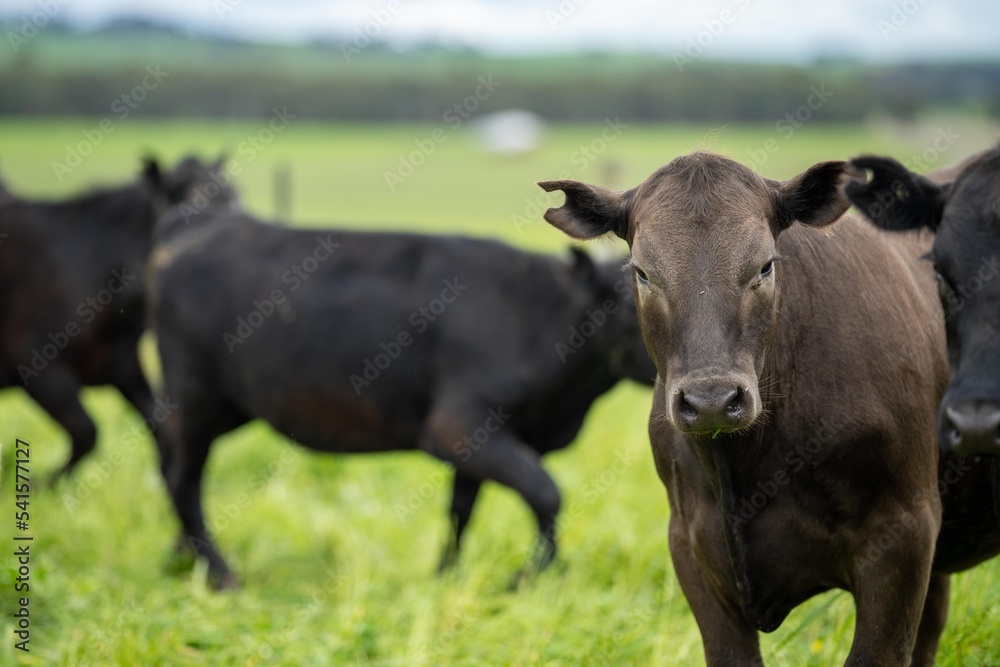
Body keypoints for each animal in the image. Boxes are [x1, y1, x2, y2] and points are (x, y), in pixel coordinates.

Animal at [145, 172, 652, 588]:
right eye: (634, 301)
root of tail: (198, 222)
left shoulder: (480, 441)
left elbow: (461, 510)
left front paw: (444, 577)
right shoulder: (458, 424)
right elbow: (545, 492)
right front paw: (528, 579)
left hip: (228, 404)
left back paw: (182, 557)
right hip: (194, 395)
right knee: (182, 478)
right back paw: (219, 574)